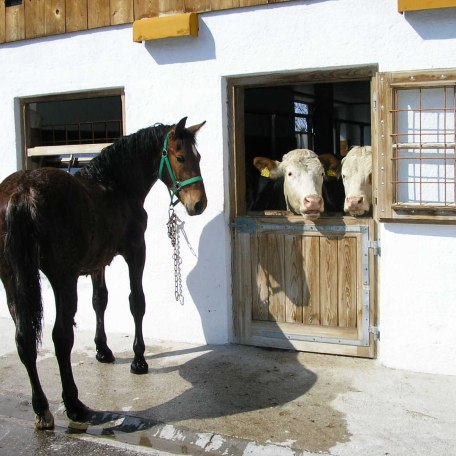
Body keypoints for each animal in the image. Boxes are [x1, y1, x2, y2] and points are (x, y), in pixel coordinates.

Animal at [0, 116, 207, 428]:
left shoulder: (97, 263)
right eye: (180, 157)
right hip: (62, 279)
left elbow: (100, 301)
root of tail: (22, 193)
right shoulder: (136, 251)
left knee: (24, 339)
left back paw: (42, 409)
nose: (199, 204)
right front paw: (138, 360)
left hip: (12, 278)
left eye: (199, 157)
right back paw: (74, 405)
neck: (115, 184)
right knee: (61, 337)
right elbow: (136, 302)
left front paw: (103, 351)